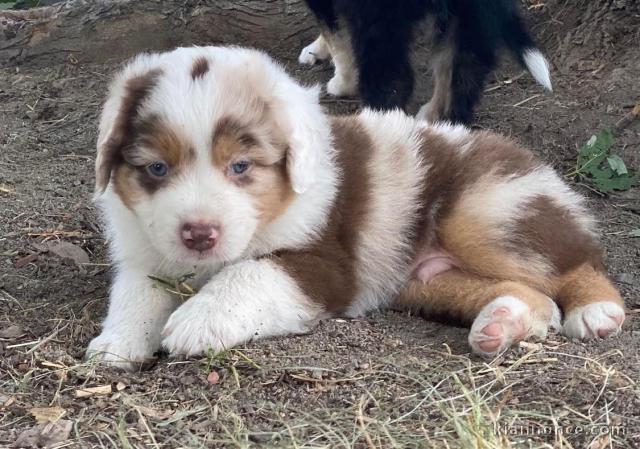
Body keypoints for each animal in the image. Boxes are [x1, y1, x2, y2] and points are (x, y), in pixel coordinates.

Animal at [302, 0, 552, 122]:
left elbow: (334, 33)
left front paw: (344, 82)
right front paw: (316, 50)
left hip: (379, 17)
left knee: (393, 79)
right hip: (467, 19)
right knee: (463, 69)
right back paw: (445, 121)